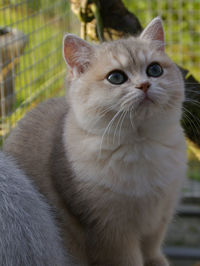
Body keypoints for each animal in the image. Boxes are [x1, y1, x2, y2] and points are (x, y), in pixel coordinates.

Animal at [3, 17, 188, 266]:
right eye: (116, 77)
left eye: (155, 70)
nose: (145, 85)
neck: (140, 144)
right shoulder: (110, 233)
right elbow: (130, 260)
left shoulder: (160, 218)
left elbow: (152, 252)